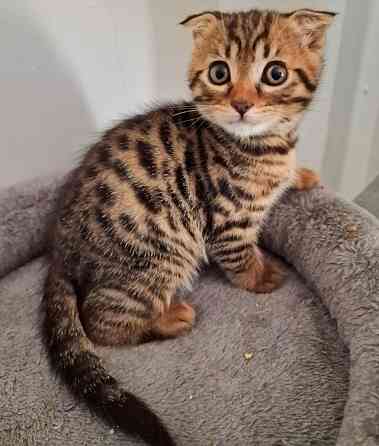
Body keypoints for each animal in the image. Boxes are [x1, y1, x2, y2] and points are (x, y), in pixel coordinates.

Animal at [43, 7, 336, 446]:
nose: (241, 104)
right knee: (100, 322)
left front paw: (300, 175)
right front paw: (262, 277)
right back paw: (169, 319)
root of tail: (59, 252)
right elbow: (239, 257)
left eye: (275, 73)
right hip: (163, 254)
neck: (262, 145)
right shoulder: (228, 219)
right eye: (219, 73)